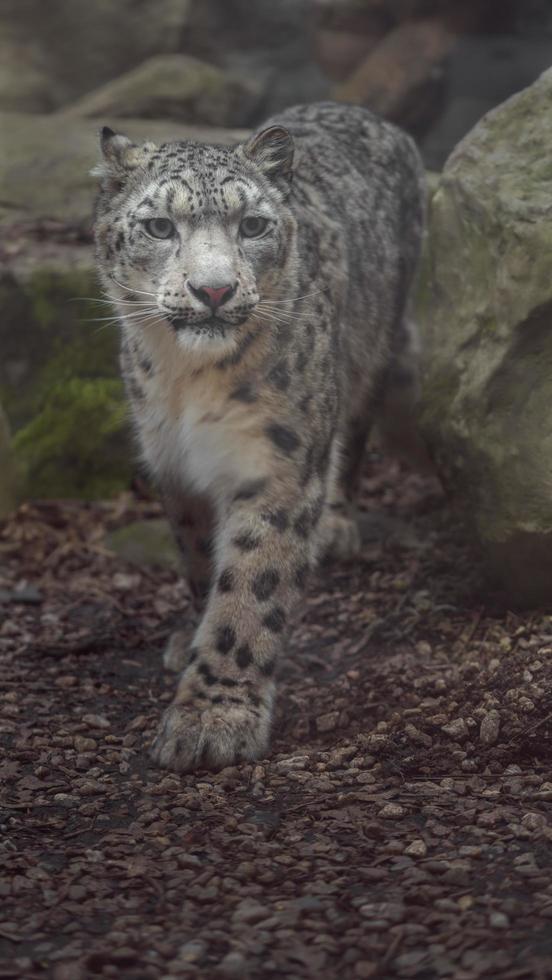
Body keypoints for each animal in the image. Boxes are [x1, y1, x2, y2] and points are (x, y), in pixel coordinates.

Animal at [92, 101, 424, 772]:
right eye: (159, 226)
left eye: (252, 225)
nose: (214, 290)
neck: (188, 380)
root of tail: (366, 113)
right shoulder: (174, 463)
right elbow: (200, 557)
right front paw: (191, 634)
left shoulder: (280, 463)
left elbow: (251, 587)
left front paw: (211, 720)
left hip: (370, 357)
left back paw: (336, 525)